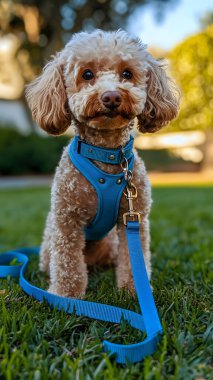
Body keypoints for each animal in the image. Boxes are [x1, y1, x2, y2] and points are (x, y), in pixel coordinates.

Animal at [25, 29, 180, 296]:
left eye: (127, 74)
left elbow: (133, 259)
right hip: (48, 248)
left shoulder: (133, 217)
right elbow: (67, 264)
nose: (112, 96)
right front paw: (66, 295)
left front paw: (133, 291)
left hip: (110, 244)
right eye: (87, 74)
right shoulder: (67, 220)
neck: (105, 155)